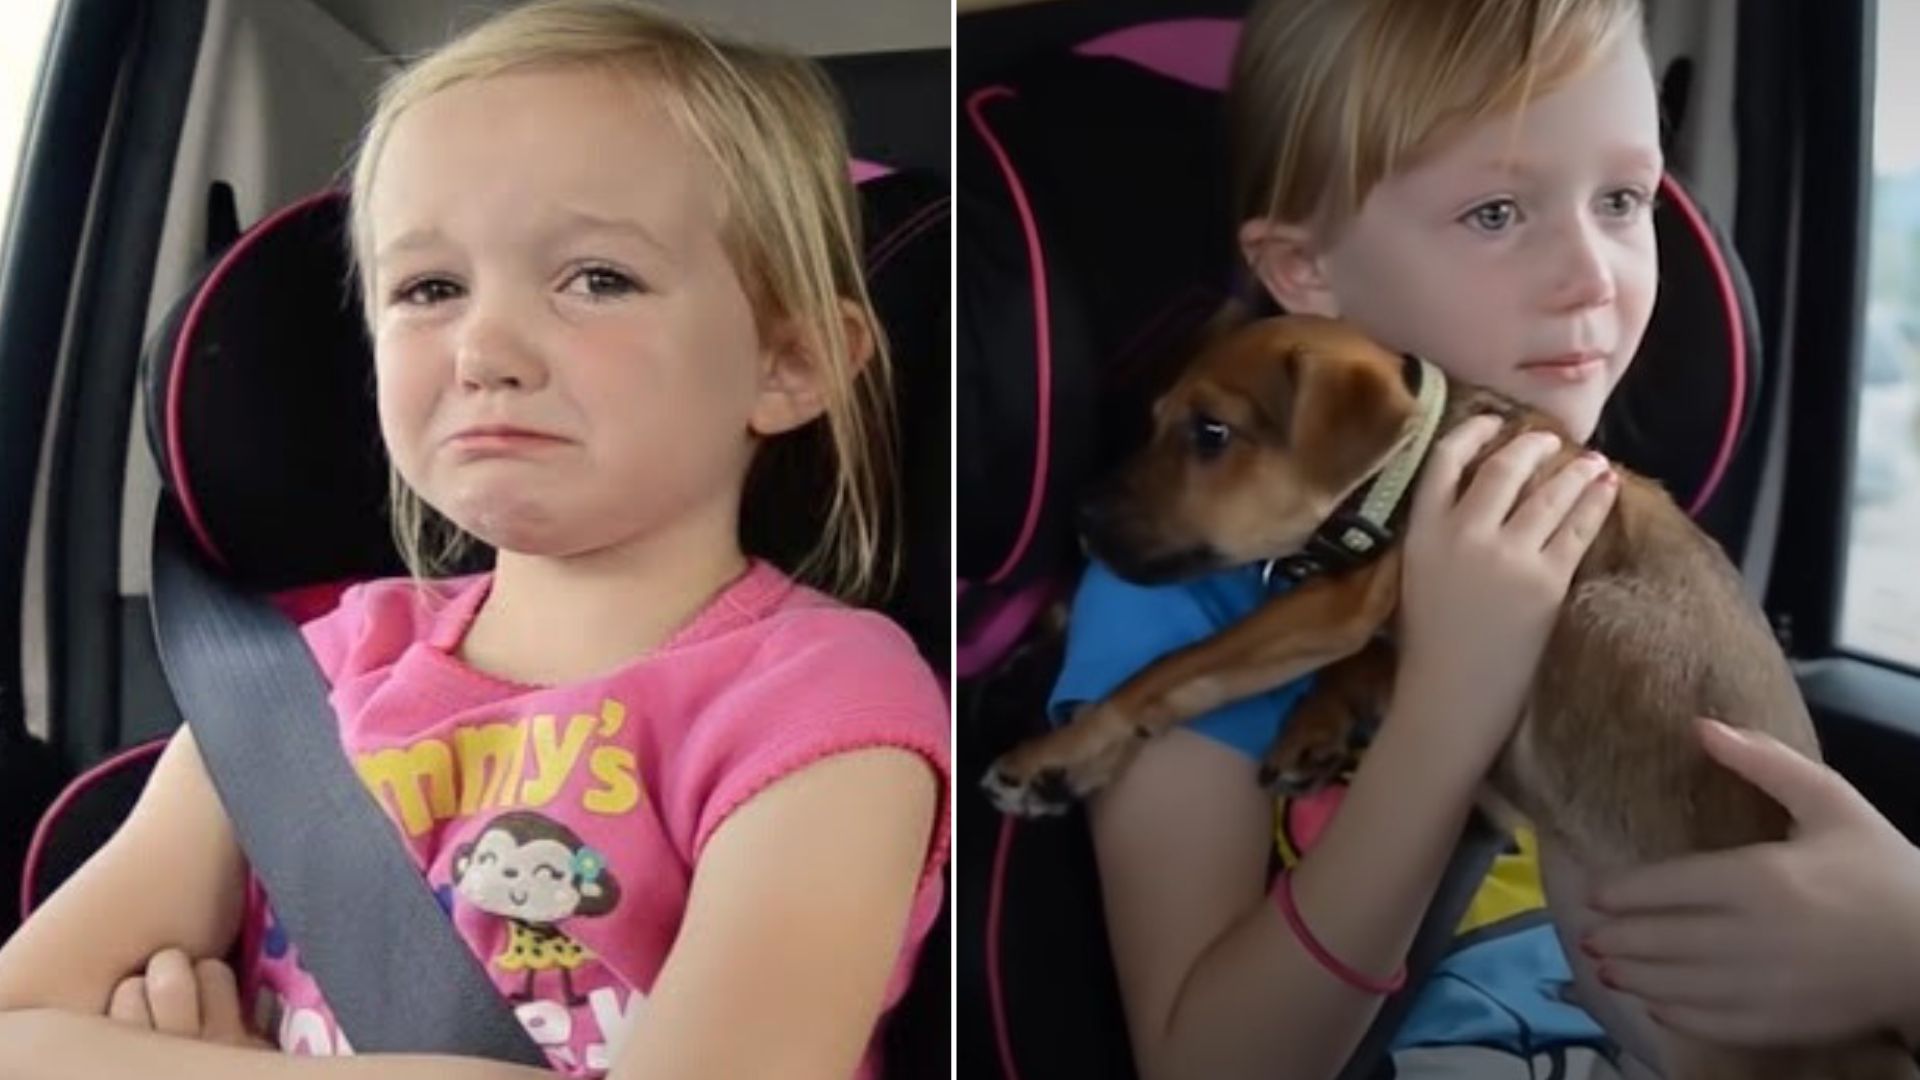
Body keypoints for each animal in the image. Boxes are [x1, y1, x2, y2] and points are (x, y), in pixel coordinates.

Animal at [983, 311, 1912, 1076]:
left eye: (1211, 434)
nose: (1079, 522)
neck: (1417, 458)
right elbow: (1343, 667)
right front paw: (1316, 726)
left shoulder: (1341, 602)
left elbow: (1170, 670)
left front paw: (1048, 758)